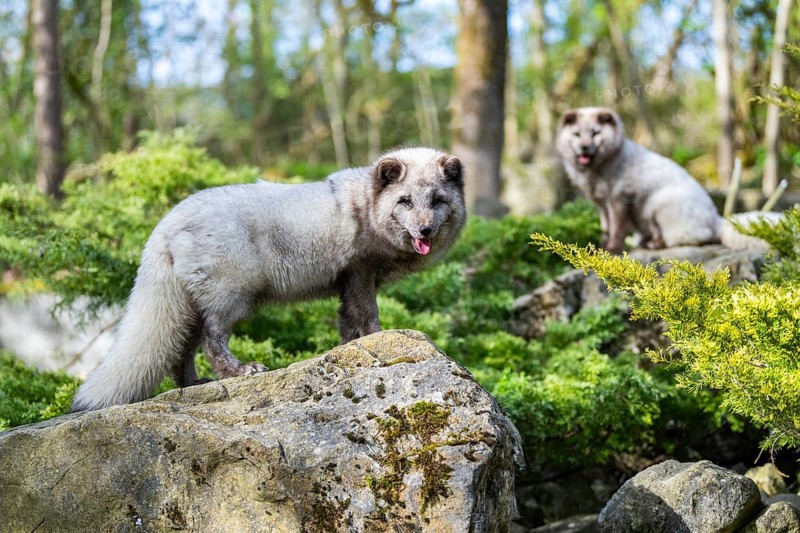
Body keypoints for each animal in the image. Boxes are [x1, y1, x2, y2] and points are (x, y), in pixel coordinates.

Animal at [70, 147, 466, 412]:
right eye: (405, 201)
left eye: (437, 200)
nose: (425, 230)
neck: (365, 206)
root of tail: (164, 225)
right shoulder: (359, 271)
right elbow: (367, 317)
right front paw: (381, 340)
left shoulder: (346, 282)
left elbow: (347, 324)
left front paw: (350, 351)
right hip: (231, 295)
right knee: (212, 339)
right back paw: (239, 371)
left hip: (192, 306)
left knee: (181, 352)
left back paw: (195, 383)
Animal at [555, 107, 767, 253]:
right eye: (576, 134)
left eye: (595, 133)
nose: (584, 147)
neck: (599, 169)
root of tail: (717, 219)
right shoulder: (601, 204)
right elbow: (606, 229)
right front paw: (601, 247)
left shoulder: (619, 200)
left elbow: (617, 229)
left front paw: (612, 249)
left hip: (658, 204)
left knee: (691, 239)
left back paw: (653, 244)